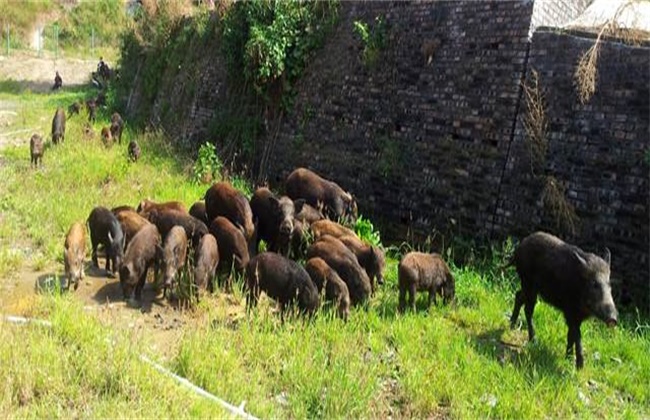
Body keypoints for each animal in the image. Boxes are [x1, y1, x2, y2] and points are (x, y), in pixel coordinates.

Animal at [508, 231, 616, 370]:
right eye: (594, 284)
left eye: (609, 285)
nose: (613, 319)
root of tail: (520, 246)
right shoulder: (570, 312)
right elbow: (577, 335)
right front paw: (580, 366)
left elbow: (571, 336)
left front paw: (568, 358)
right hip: (528, 283)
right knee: (528, 309)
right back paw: (534, 340)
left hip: (530, 288)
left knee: (518, 296)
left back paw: (512, 325)